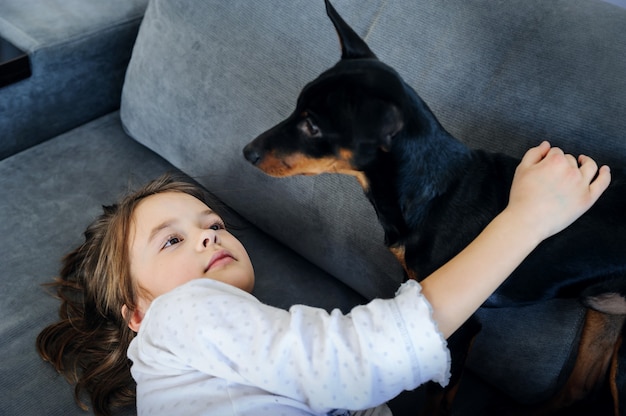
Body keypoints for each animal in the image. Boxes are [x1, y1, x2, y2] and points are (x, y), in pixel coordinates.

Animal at [243, 1, 624, 414]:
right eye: (297, 108)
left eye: (312, 126)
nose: (247, 152)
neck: (430, 189)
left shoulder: (458, 331)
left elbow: (438, 399)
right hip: (604, 317)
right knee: (579, 388)